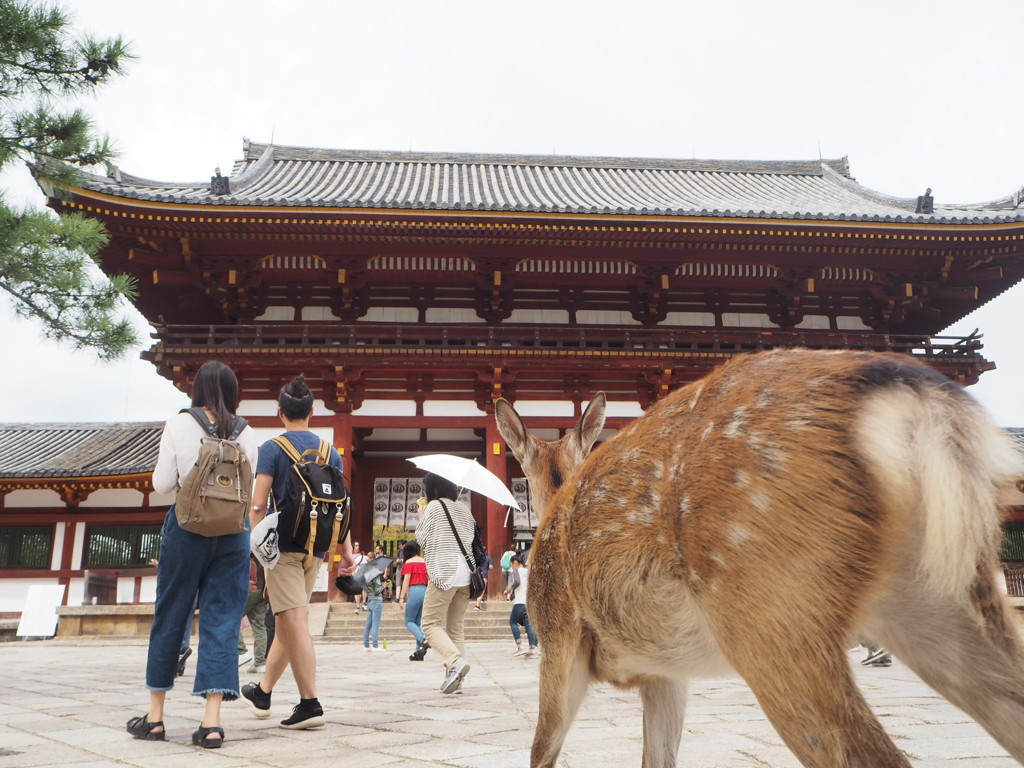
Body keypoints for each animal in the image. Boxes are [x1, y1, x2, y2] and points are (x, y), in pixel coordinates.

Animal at [494, 347, 1024, 768]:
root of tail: (913, 400)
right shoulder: (664, 672)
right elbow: (658, 758)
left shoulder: (560, 639)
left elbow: (540, 753)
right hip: (942, 592)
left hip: (768, 611)